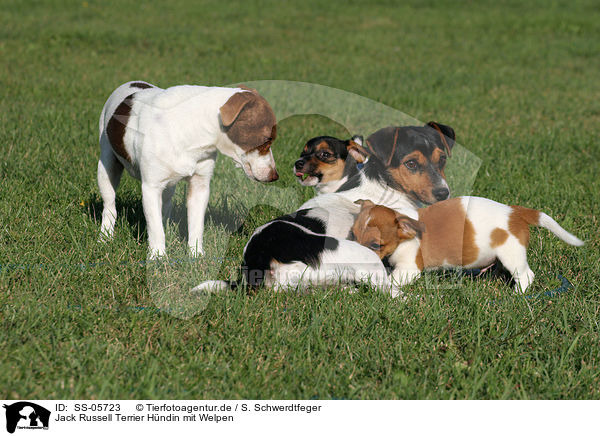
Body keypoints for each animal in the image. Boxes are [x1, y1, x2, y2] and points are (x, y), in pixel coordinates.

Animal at [97, 80, 278, 258]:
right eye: (267, 140)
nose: (275, 176)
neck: (193, 131)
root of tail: (131, 82)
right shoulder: (151, 187)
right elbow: (155, 228)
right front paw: (158, 256)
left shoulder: (200, 185)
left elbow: (196, 225)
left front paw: (196, 254)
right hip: (106, 166)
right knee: (110, 205)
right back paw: (105, 237)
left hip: (169, 185)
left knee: (166, 204)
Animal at [350, 196, 584, 292]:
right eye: (353, 235)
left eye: (376, 245)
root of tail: (515, 212)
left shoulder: (408, 268)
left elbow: (391, 279)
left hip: (512, 254)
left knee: (526, 275)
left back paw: (517, 295)